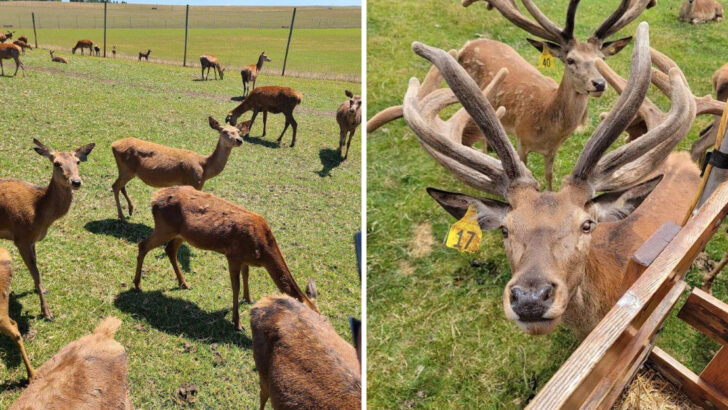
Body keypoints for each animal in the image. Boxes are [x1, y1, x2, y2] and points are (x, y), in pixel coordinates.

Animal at [0, 139, 95, 319]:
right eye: (56, 163)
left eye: (78, 162)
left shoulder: (32, 241)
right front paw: (47, 312)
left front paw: (43, 290)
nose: (76, 182)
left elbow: (36, 269)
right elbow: (35, 273)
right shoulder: (21, 238)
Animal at [110, 117, 248, 222]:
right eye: (224, 131)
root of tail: (113, 145)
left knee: (120, 186)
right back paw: (122, 216)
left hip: (126, 170)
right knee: (115, 186)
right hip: (127, 169)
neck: (205, 168)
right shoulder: (195, 182)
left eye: (238, 131)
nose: (239, 140)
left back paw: (130, 210)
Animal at [133, 185, 319, 331]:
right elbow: (235, 287)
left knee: (170, 249)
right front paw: (237, 323)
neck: (262, 251)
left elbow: (246, 276)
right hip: (164, 228)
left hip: (181, 234)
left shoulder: (244, 258)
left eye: (321, 315)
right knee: (143, 245)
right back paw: (137, 285)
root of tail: (154, 198)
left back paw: (183, 283)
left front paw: (249, 299)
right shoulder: (233, 255)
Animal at [370, 0, 657, 191]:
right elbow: (524, 170)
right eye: (571, 60)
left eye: (600, 60)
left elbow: (549, 175)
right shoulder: (521, 139)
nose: (598, 84)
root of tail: (469, 44)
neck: (547, 120)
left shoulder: (553, 150)